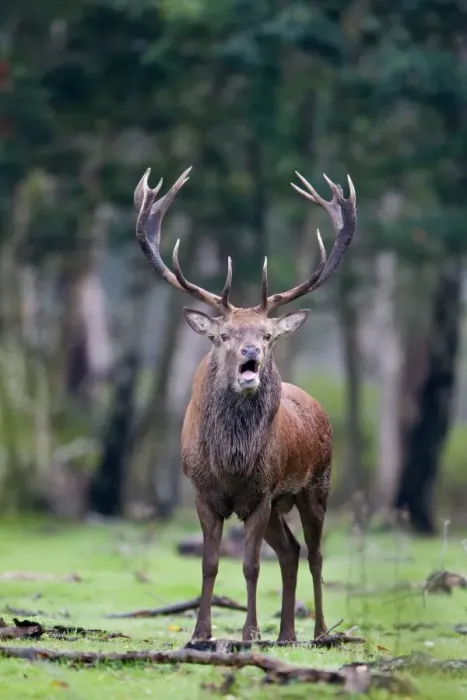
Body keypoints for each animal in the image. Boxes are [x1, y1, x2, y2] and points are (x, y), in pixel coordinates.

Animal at [134, 165, 356, 643]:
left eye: (268, 335)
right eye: (223, 335)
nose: (251, 354)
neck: (232, 463)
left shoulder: (262, 492)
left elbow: (251, 566)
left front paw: (249, 632)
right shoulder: (203, 492)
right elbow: (209, 563)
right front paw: (201, 633)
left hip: (316, 485)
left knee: (314, 553)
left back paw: (319, 631)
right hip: (281, 504)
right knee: (291, 550)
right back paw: (287, 633)